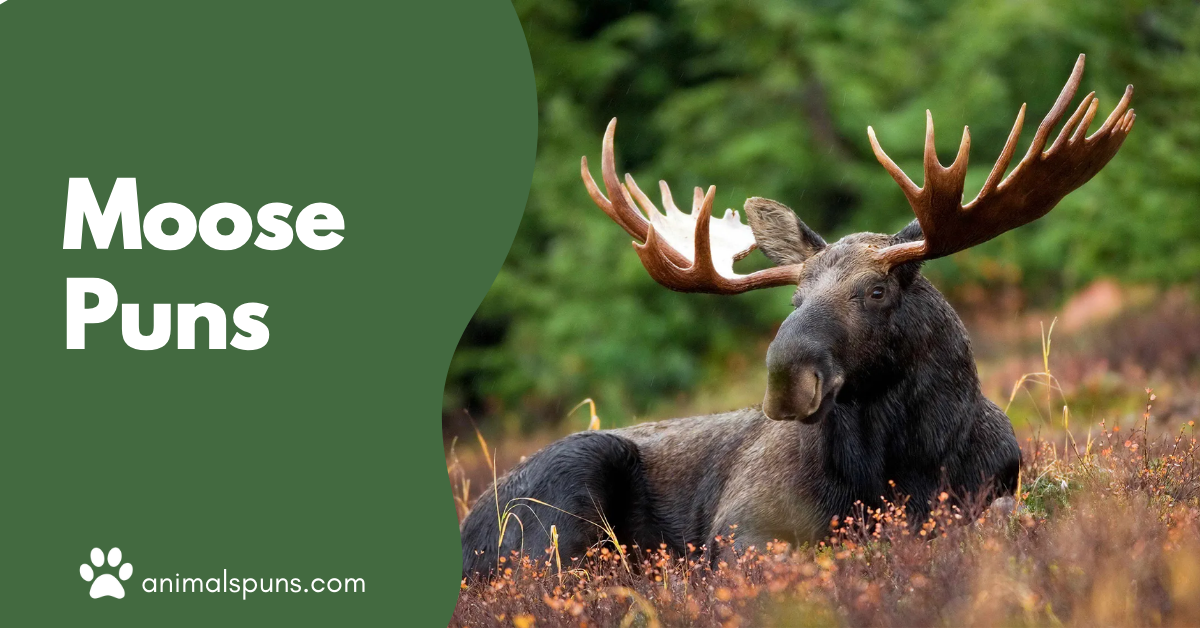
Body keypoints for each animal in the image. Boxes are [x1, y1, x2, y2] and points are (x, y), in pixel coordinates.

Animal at [460, 54, 1135, 579]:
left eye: (877, 291)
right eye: (795, 300)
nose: (786, 378)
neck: (905, 464)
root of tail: (462, 533)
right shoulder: (742, 526)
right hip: (565, 498)